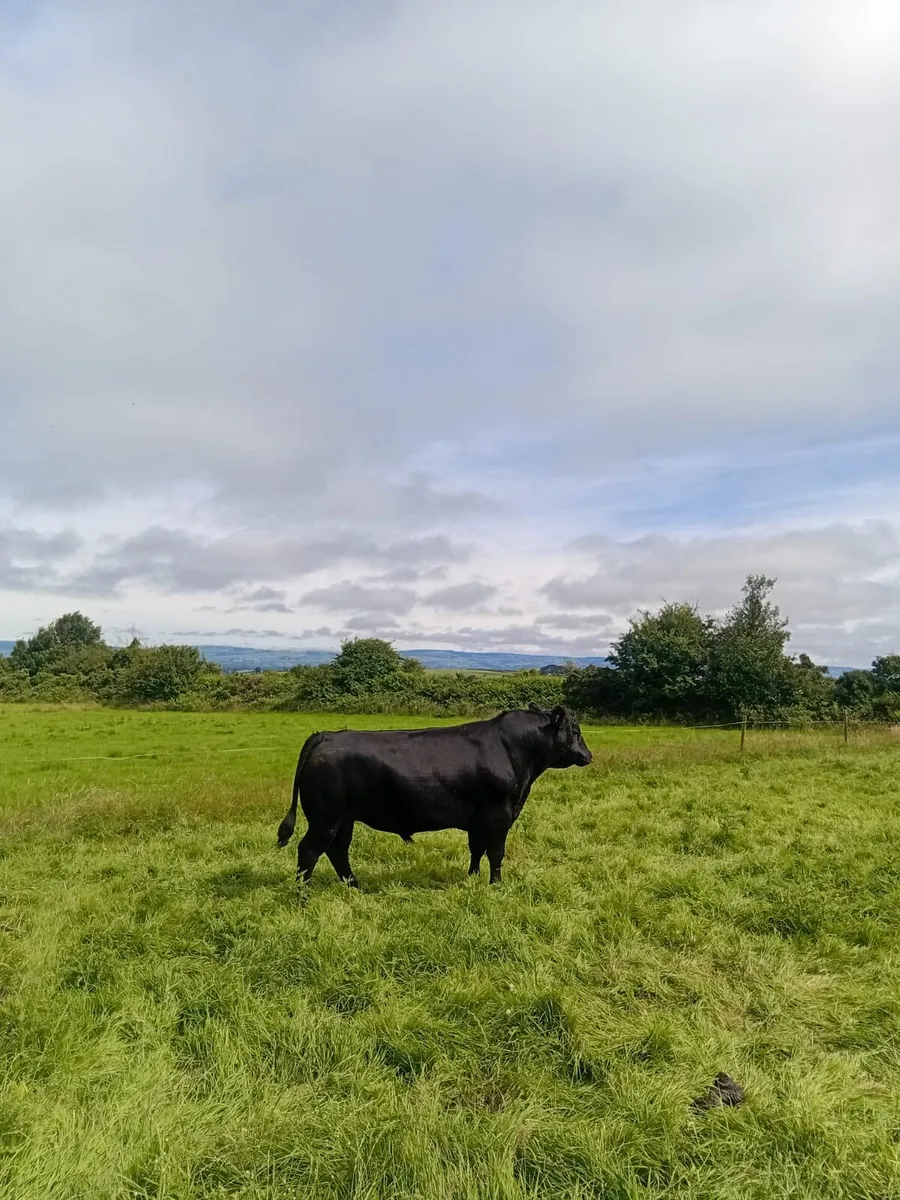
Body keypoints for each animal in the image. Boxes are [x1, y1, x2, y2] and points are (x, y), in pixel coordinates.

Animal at [276, 704, 592, 889]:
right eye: (576, 731)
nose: (588, 755)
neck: (513, 749)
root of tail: (327, 735)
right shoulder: (500, 814)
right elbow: (496, 852)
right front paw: (496, 885)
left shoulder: (478, 819)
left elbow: (476, 849)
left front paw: (472, 879)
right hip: (325, 818)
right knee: (309, 850)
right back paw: (302, 894)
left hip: (344, 819)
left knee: (338, 851)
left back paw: (355, 887)